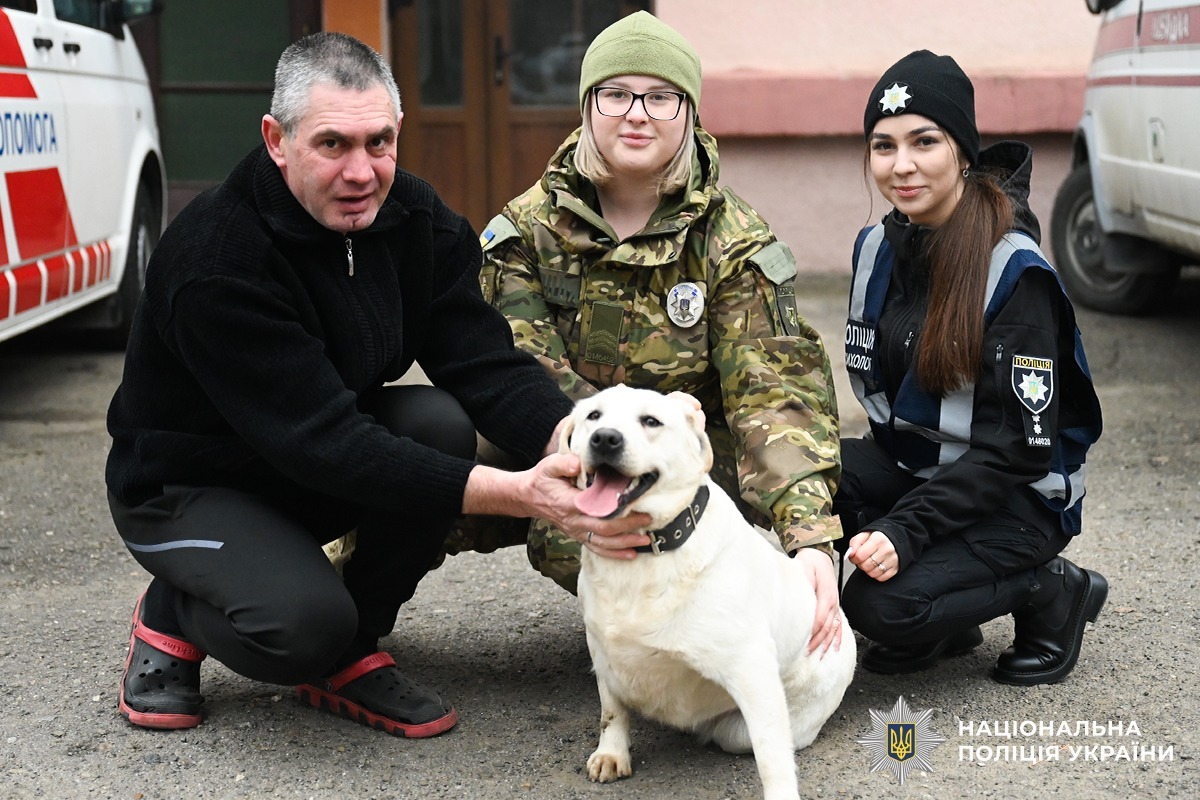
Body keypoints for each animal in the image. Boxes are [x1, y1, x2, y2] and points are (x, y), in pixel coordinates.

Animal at [561, 385, 856, 800]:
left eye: (651, 420)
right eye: (593, 416)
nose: (605, 439)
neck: (650, 552)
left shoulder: (752, 673)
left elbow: (773, 757)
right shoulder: (603, 651)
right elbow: (611, 710)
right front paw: (612, 752)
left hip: (750, 726)